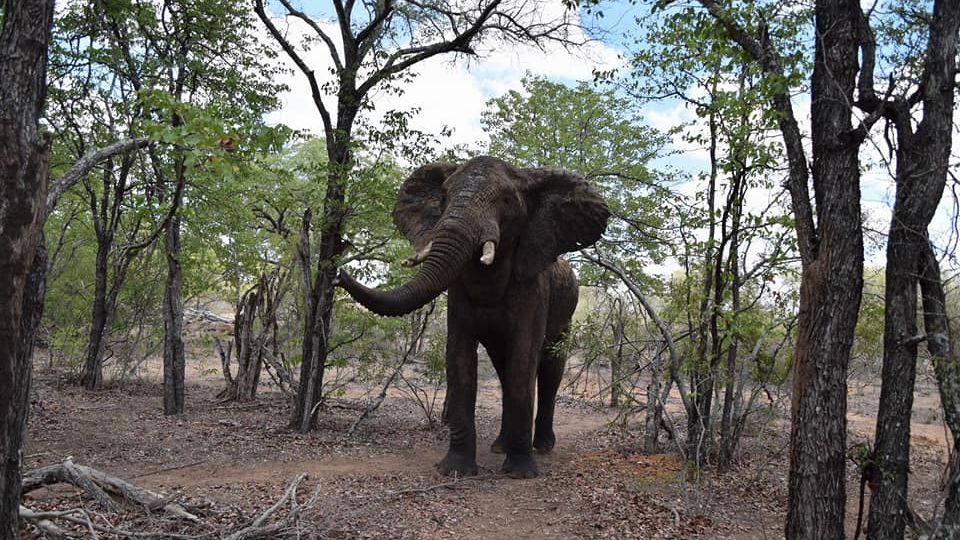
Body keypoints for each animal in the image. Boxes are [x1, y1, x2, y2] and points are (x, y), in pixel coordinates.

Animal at [337, 155, 609, 478]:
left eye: (506, 200)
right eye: (444, 196)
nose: (337, 272)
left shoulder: (535, 288)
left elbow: (524, 358)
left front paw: (519, 473)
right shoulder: (458, 293)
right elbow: (459, 357)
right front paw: (456, 470)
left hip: (567, 310)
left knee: (550, 370)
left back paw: (543, 447)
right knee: (503, 371)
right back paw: (500, 446)